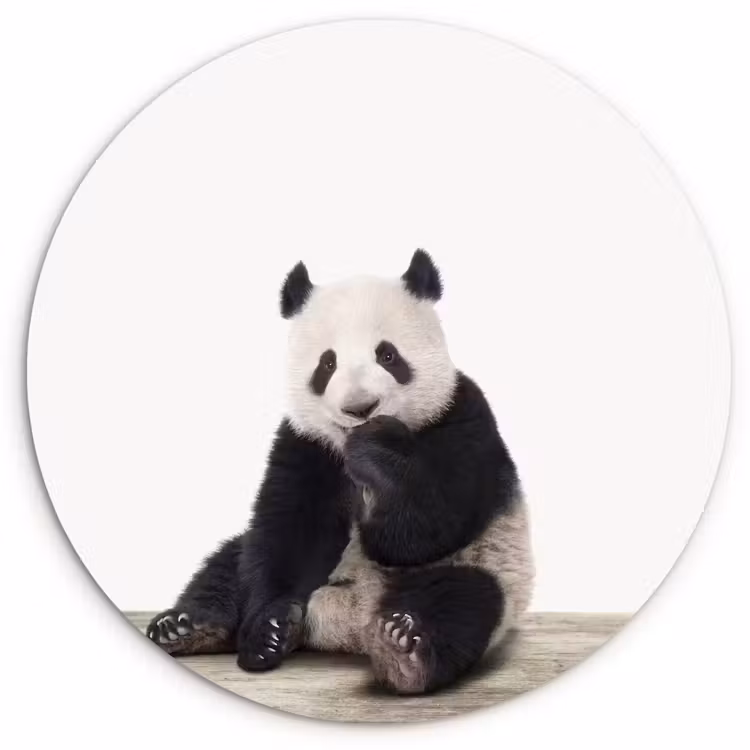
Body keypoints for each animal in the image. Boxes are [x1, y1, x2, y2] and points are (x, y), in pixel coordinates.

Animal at [147, 249, 534, 694]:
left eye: (388, 355)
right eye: (327, 364)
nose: (360, 408)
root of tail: (347, 624)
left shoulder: (461, 417)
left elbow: (427, 527)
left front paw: (378, 451)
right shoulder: (306, 444)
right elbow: (290, 532)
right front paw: (269, 632)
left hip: (487, 566)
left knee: (463, 601)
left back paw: (404, 650)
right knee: (229, 564)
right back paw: (188, 627)